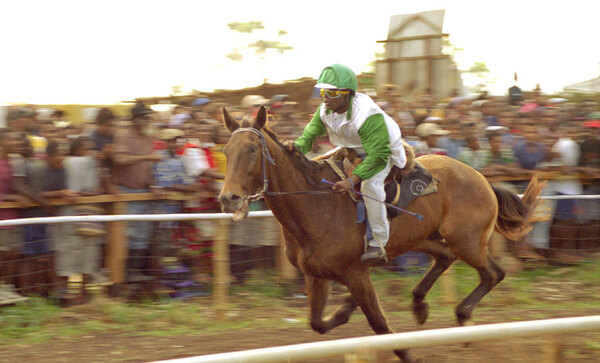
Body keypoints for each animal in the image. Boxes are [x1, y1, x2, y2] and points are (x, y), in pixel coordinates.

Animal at [219, 106, 544, 362]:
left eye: (252, 149)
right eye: (226, 151)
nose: (228, 198)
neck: (315, 203)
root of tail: (483, 179)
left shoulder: (355, 273)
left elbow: (379, 324)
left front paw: (407, 353)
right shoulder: (317, 274)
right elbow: (317, 323)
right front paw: (345, 309)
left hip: (467, 241)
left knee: (493, 273)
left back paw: (463, 316)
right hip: (422, 238)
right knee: (445, 257)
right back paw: (419, 305)